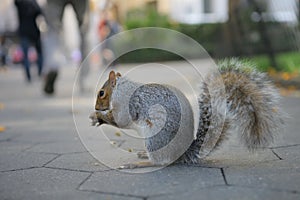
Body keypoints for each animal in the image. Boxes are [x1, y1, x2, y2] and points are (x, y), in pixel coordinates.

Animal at [88, 58, 284, 168]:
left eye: (101, 93)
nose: (97, 107)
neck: (120, 88)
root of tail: (182, 154)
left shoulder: (126, 104)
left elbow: (120, 120)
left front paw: (99, 117)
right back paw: (143, 155)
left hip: (155, 137)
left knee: (160, 161)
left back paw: (139, 163)